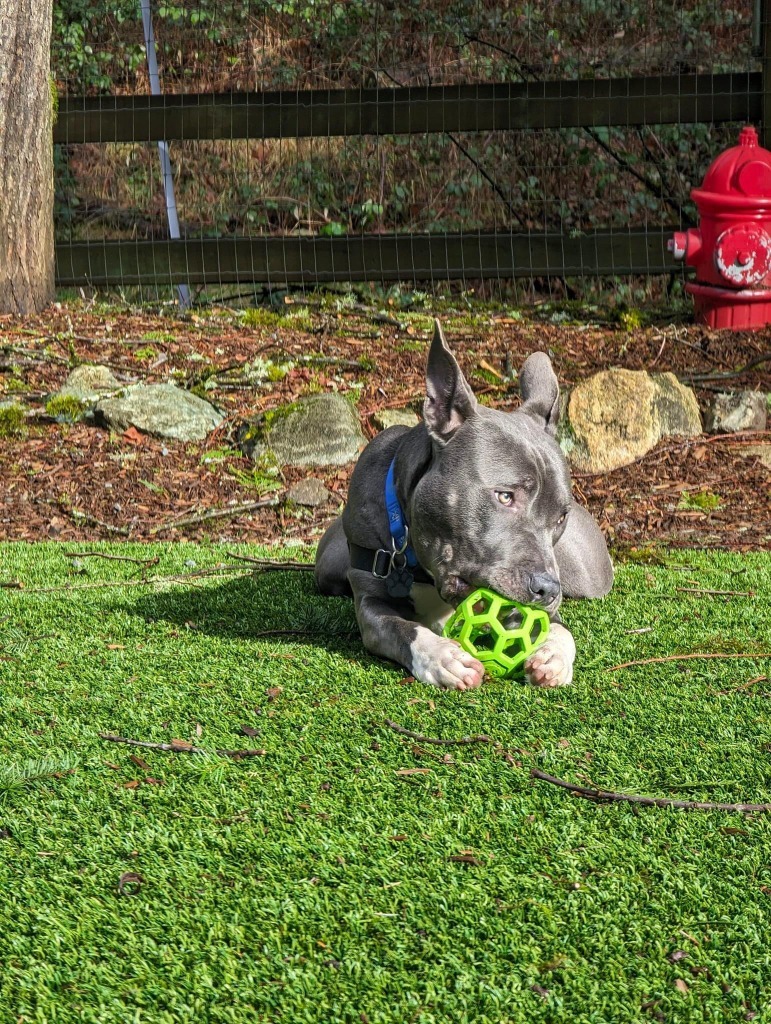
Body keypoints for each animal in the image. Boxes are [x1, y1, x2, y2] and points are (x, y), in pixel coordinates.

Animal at [313, 319, 614, 688]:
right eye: (505, 496)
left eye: (560, 518)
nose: (547, 589)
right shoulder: (370, 603)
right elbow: (402, 628)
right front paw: (443, 656)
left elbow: (560, 629)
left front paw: (552, 656)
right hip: (328, 565)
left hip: (588, 576)